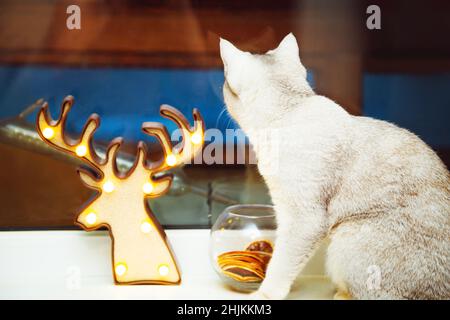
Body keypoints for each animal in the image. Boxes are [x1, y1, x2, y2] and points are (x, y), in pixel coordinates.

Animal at [220, 33, 450, 298]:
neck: (291, 110)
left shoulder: (303, 219)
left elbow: (281, 265)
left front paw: (264, 294)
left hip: (346, 239)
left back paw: (342, 294)